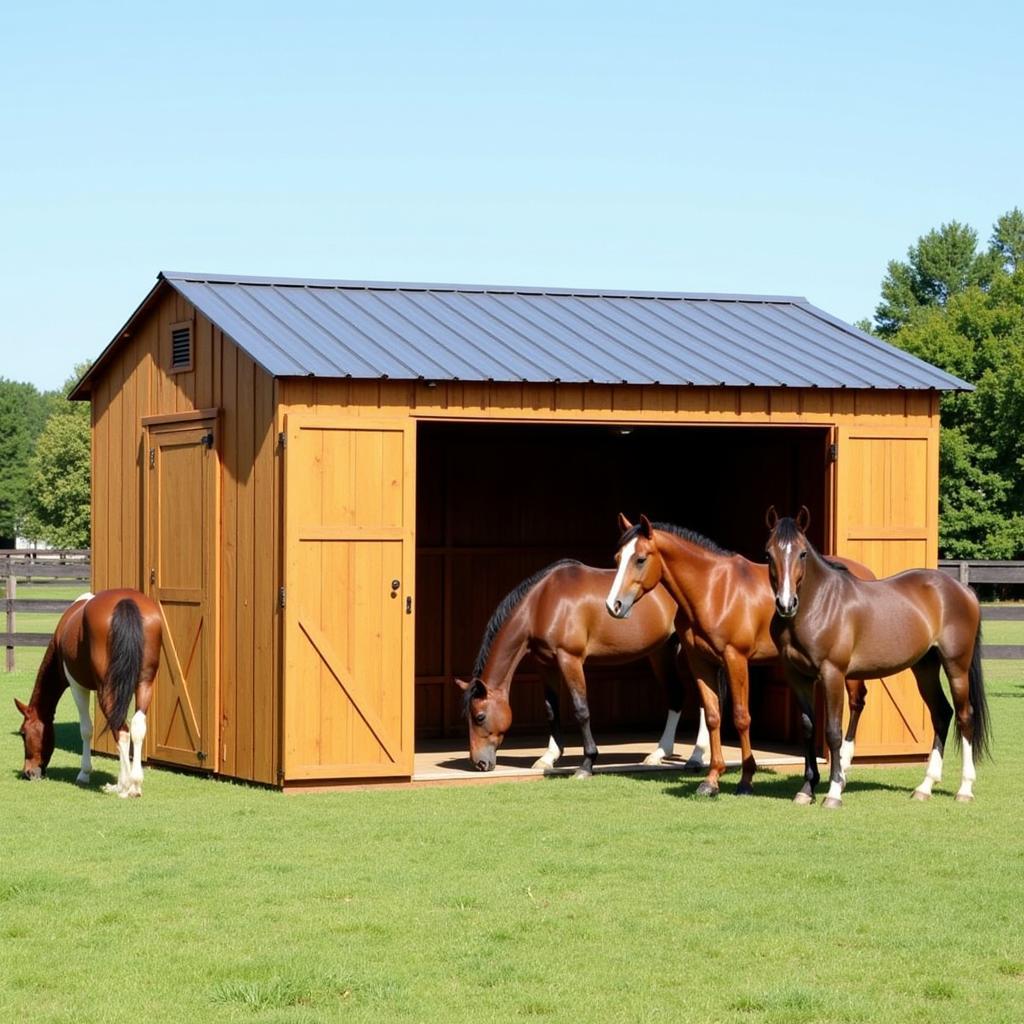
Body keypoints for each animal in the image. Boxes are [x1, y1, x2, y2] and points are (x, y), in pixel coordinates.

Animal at [14, 589, 161, 794]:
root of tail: (126, 600)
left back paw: (123, 786)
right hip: (144, 684)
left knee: (121, 731)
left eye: (23, 733)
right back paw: (135, 784)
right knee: (137, 727)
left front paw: (84, 773)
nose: (28, 772)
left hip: (107, 689)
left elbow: (86, 729)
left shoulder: (78, 687)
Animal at [458, 561, 708, 774]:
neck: (542, 603)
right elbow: (551, 710)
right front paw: (548, 757)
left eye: (479, 717)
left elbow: (581, 709)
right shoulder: (546, 664)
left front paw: (588, 761)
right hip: (662, 651)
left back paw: (697, 757)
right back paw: (658, 754)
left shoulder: (570, 659)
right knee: (677, 695)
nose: (479, 763)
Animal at [602, 516, 876, 794]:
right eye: (617, 558)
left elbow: (741, 717)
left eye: (640, 559)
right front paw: (711, 779)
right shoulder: (700, 661)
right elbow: (712, 715)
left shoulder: (736, 659)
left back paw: (844, 765)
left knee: (856, 702)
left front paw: (746, 779)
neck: (714, 590)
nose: (614, 605)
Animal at [765, 505, 987, 806]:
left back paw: (964, 789)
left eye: (802, 553)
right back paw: (925, 787)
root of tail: (963, 591)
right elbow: (808, 727)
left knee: (965, 717)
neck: (818, 605)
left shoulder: (832, 674)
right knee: (942, 714)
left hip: (956, 667)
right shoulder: (798, 676)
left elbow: (833, 732)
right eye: (768, 554)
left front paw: (833, 792)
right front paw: (807, 789)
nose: (786, 604)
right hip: (925, 667)